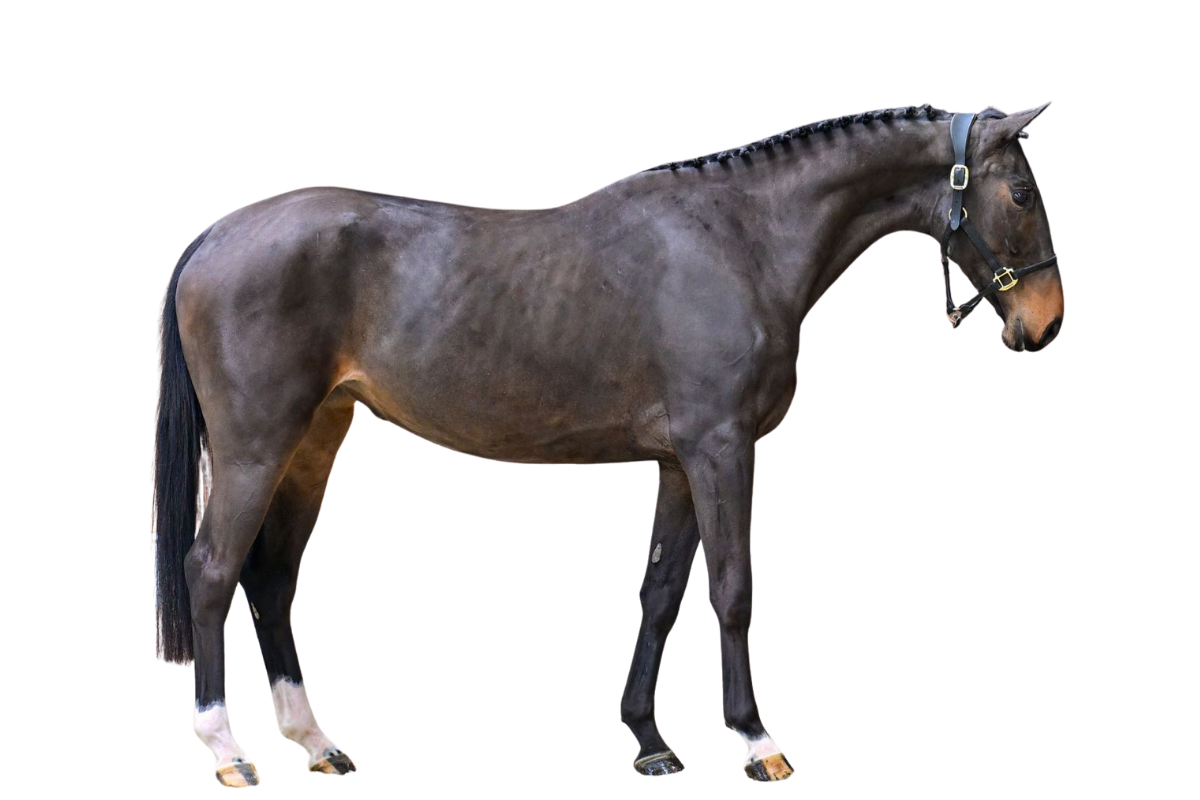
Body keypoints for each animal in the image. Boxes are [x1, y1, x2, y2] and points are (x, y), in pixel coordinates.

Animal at [152, 102, 1062, 787]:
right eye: (1021, 191)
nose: (1046, 327)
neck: (741, 239)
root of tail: (216, 236)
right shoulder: (722, 448)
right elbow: (733, 590)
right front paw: (757, 741)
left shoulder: (678, 460)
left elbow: (659, 592)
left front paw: (650, 743)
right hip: (255, 445)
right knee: (212, 571)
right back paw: (229, 751)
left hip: (315, 439)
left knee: (271, 578)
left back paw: (316, 744)